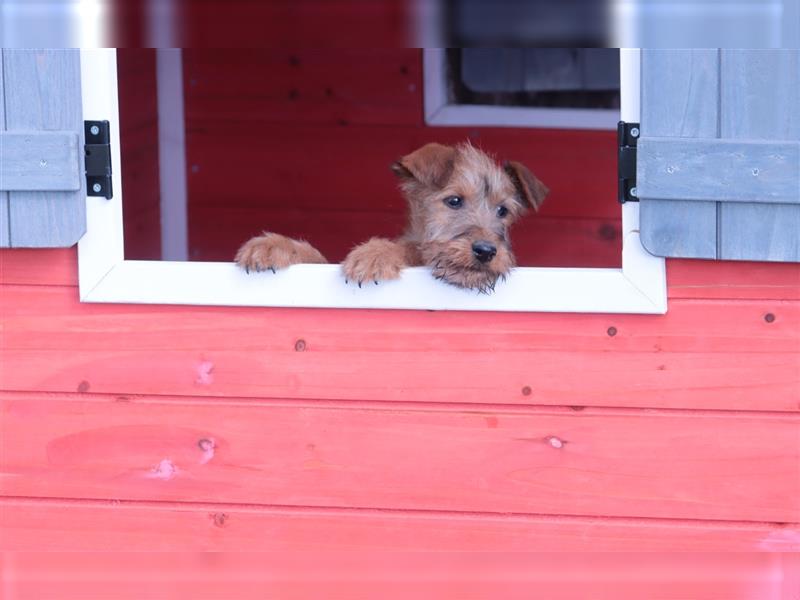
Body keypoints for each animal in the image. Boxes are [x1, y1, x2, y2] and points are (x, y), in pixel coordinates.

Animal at [234, 141, 548, 290]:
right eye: (454, 201)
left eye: (503, 210)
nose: (486, 251)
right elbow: (316, 256)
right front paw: (272, 245)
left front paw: (374, 255)